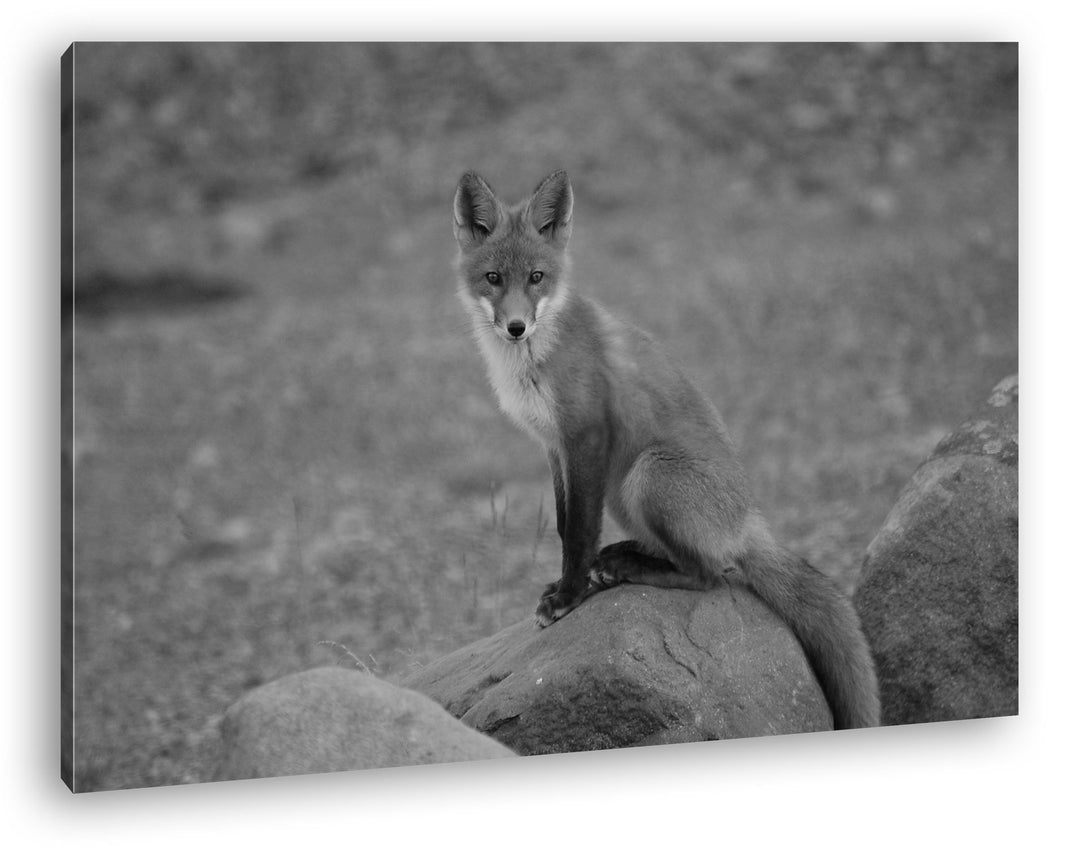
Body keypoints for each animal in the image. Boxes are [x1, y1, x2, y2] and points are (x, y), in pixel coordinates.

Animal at [452, 169, 881, 730]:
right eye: (494, 278)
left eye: (537, 278)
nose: (516, 326)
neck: (532, 362)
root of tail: (747, 519)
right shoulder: (555, 447)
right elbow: (567, 524)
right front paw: (568, 585)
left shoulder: (586, 436)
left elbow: (577, 532)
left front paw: (568, 596)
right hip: (623, 492)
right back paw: (623, 556)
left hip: (647, 474)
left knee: (710, 574)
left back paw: (630, 568)